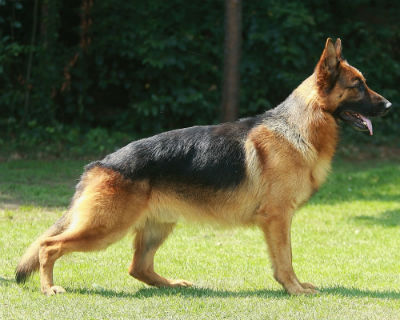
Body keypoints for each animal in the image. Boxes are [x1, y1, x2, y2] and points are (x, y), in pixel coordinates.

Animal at [14, 38, 390, 296]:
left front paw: (293, 287)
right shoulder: (278, 219)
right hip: (106, 228)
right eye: (357, 86)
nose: (388, 105)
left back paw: (173, 284)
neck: (299, 127)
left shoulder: (278, 220)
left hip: (156, 227)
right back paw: (49, 288)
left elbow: (283, 259)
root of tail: (99, 165)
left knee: (138, 268)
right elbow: (285, 259)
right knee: (49, 247)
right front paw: (294, 289)